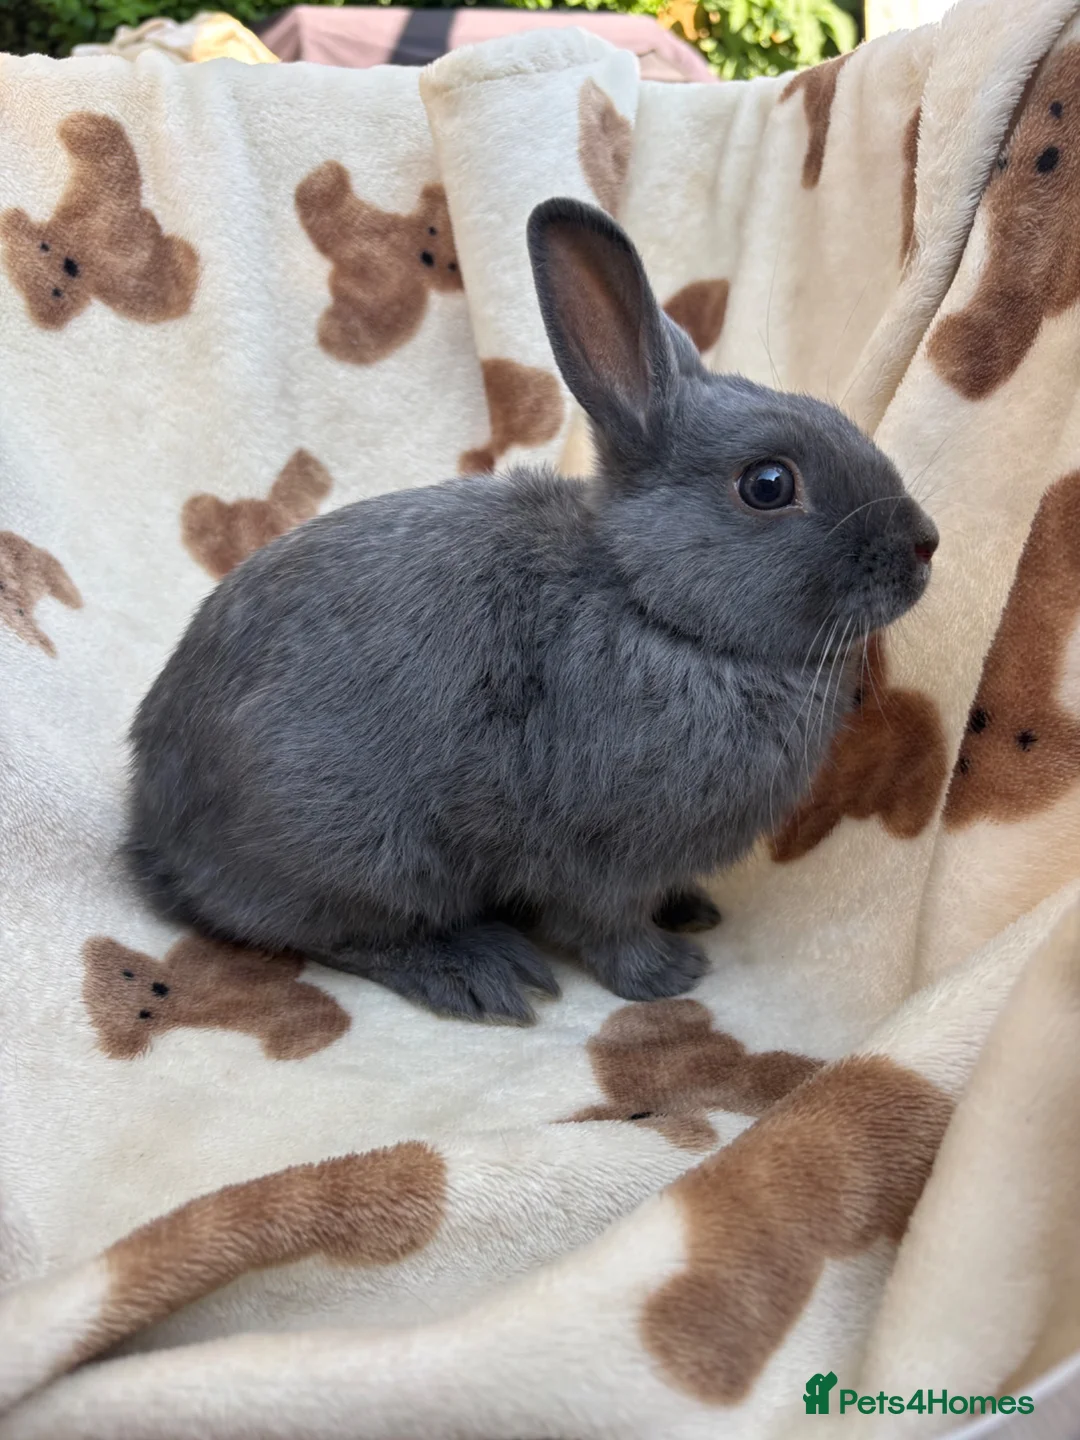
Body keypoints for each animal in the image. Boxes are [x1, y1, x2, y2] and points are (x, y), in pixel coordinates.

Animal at [125, 198, 938, 1024]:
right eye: (768, 484)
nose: (924, 545)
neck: (654, 608)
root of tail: (155, 835)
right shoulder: (604, 857)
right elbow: (608, 926)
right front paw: (670, 974)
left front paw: (692, 911)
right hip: (357, 849)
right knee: (342, 934)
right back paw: (480, 970)